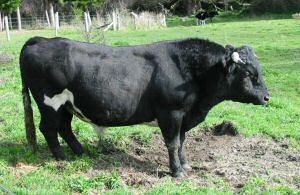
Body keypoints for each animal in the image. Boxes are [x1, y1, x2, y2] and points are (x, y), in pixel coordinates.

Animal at [20, 36, 270, 177]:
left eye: (260, 69)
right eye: (249, 73)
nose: (267, 97)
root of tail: (41, 39)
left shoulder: (184, 115)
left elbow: (182, 142)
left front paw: (185, 165)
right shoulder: (171, 113)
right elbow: (172, 143)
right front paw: (176, 171)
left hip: (66, 106)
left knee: (64, 128)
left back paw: (82, 153)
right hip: (50, 103)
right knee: (49, 129)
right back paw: (62, 158)